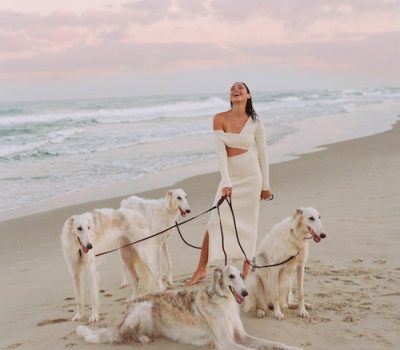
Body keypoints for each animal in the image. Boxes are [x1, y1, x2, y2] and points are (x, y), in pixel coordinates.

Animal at [76, 266, 300, 350]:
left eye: (242, 276)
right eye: (230, 276)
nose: (245, 293)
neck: (223, 303)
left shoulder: (241, 336)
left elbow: (273, 343)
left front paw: (294, 347)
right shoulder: (226, 342)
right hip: (144, 308)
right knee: (123, 336)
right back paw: (141, 338)